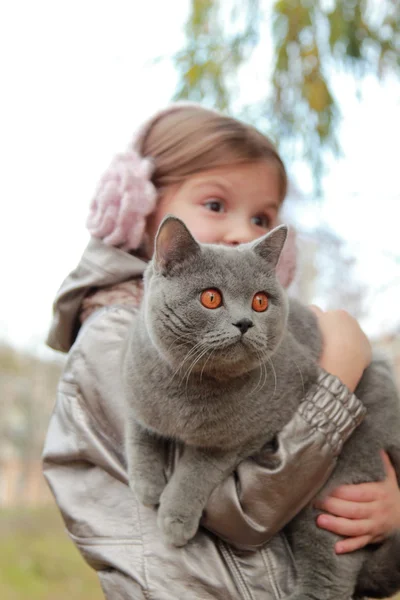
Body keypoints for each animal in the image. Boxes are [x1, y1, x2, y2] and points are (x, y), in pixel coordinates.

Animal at [122, 217, 400, 600]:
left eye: (260, 301)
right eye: (211, 298)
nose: (244, 322)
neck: (188, 388)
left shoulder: (259, 425)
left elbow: (199, 467)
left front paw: (175, 516)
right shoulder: (135, 385)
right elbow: (138, 432)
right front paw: (146, 485)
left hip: (336, 489)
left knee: (330, 571)